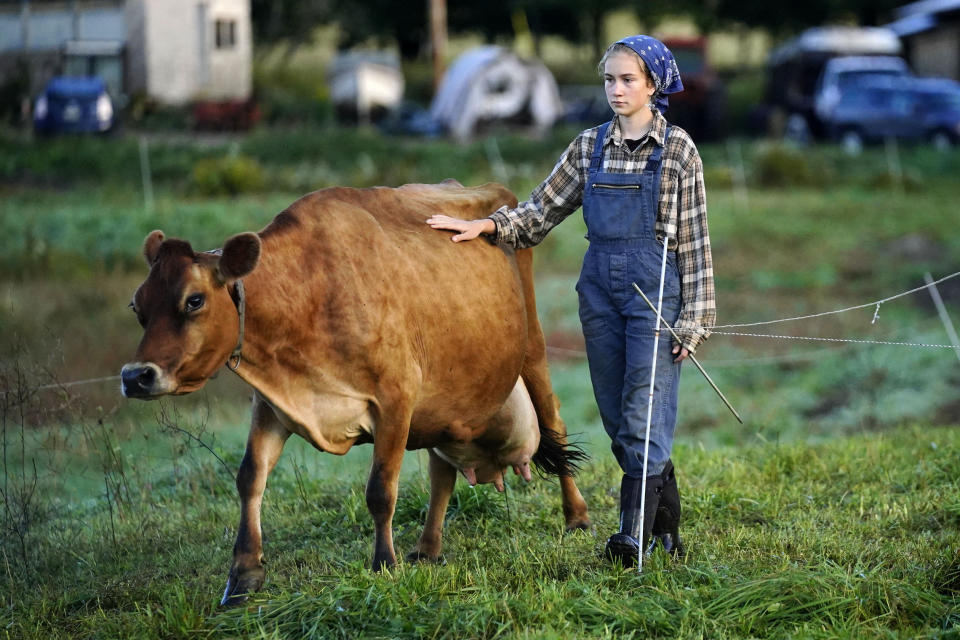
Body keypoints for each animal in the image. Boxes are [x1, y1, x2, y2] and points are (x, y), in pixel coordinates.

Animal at [124, 180, 588, 604]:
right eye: (137, 306)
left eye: (194, 300)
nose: (134, 376)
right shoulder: (272, 405)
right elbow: (250, 478)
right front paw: (243, 575)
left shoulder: (396, 397)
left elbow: (381, 490)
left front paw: (384, 563)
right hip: (444, 403)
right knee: (442, 471)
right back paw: (428, 548)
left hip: (532, 349)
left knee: (554, 423)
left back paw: (577, 517)